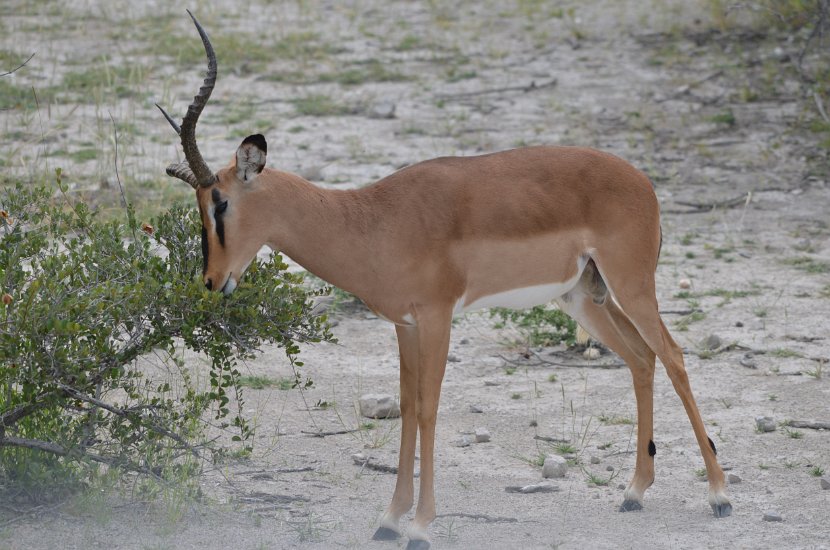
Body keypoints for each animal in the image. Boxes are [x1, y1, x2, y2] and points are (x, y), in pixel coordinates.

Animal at [158, 11, 732, 550]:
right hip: (584, 297)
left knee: (673, 355)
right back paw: (634, 492)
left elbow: (431, 410)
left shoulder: (437, 317)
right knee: (641, 359)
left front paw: (420, 526)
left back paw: (719, 496)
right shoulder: (404, 324)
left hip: (631, 286)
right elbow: (408, 410)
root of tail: (644, 182)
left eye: (220, 202)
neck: (371, 219)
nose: (211, 281)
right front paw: (390, 520)